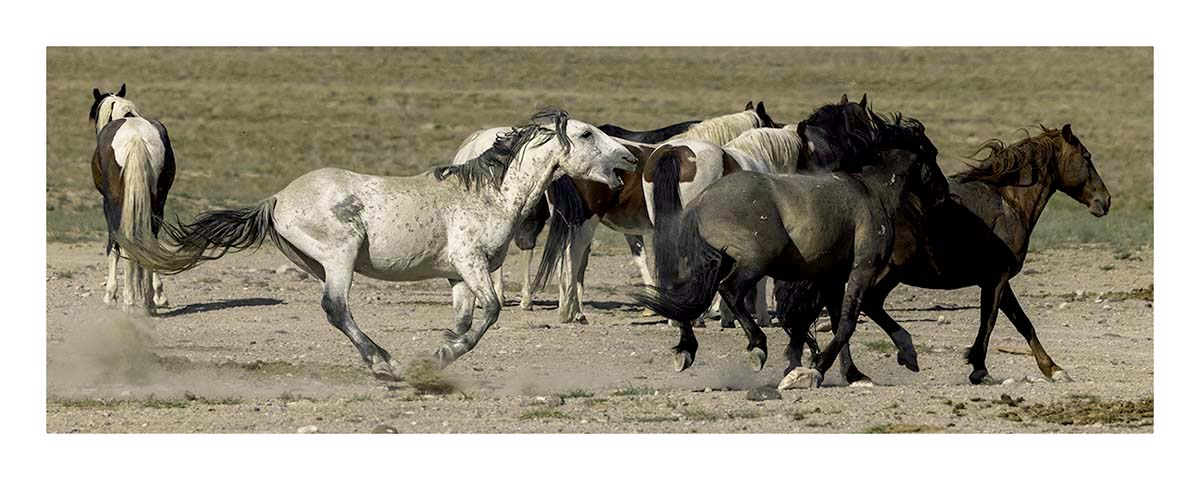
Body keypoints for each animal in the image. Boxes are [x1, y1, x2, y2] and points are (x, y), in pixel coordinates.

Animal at [89, 84, 175, 314]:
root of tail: (136, 137)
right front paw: (159, 296)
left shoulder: (107, 203)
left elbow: (113, 246)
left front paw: (110, 295)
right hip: (157, 203)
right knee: (150, 241)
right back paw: (149, 302)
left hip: (116, 202)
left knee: (123, 240)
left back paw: (129, 301)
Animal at [112, 108, 638, 381]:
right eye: (586, 133)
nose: (630, 157)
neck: (487, 193)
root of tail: (277, 198)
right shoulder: (471, 263)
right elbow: (491, 311)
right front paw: (443, 356)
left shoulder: (457, 275)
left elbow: (464, 318)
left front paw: (439, 355)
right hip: (341, 255)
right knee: (336, 308)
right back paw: (383, 362)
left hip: (320, 262)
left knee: (335, 310)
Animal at [634, 146, 950, 386]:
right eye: (932, 158)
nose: (945, 193)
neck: (872, 193)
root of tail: (700, 202)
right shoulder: (863, 270)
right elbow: (848, 323)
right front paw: (816, 368)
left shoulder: (832, 277)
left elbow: (839, 321)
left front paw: (854, 372)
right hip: (751, 263)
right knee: (730, 292)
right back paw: (757, 347)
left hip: (715, 262)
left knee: (683, 298)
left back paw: (686, 350)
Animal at [775, 124, 1110, 386]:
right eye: (1087, 158)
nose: (1104, 201)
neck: (1008, 203)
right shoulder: (996, 279)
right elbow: (993, 321)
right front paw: (981, 369)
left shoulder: (996, 280)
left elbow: (1021, 322)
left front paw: (1052, 369)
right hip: (883, 271)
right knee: (854, 310)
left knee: (848, 310)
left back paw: (858, 369)